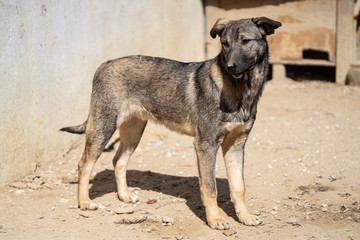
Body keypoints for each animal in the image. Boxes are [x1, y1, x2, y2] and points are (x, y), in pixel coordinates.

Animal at [61, 15, 282, 230]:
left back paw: (124, 195)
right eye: (225, 44)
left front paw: (245, 216)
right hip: (103, 125)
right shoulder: (205, 145)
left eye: (245, 41)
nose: (230, 67)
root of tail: (104, 64)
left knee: (119, 160)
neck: (241, 88)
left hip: (134, 131)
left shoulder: (236, 145)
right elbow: (210, 189)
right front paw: (215, 220)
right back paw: (84, 202)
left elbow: (239, 187)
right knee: (84, 164)